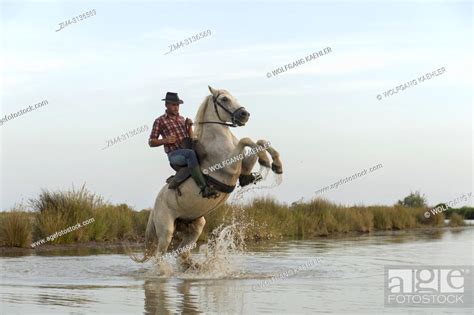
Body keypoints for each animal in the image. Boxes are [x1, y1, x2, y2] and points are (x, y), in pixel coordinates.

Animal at [134, 86, 282, 266]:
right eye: (224, 99)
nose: (244, 115)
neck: (218, 138)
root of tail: (154, 207)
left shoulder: (239, 165)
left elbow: (259, 142)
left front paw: (275, 164)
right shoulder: (229, 166)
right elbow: (246, 140)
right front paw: (266, 159)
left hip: (195, 226)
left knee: (182, 253)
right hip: (166, 230)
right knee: (159, 255)